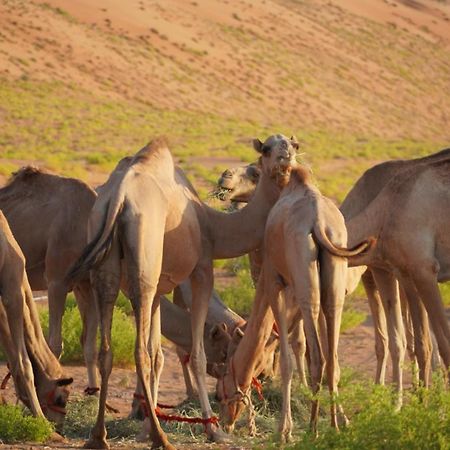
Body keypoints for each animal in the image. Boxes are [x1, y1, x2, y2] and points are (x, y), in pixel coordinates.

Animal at [65, 134, 294, 450]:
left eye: (293, 146)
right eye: (266, 153)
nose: (285, 158)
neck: (211, 224)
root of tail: (118, 198)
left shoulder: (161, 287)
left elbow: (159, 354)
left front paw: (147, 428)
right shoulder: (202, 270)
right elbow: (195, 354)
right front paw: (212, 429)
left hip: (107, 270)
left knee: (108, 349)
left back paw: (99, 437)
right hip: (144, 262)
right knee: (138, 352)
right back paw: (162, 439)